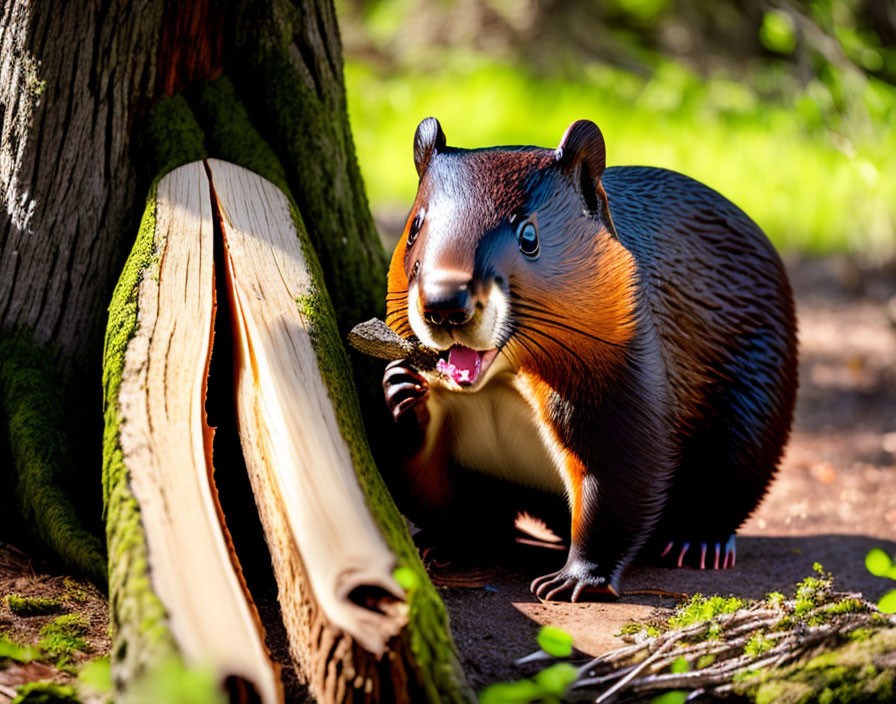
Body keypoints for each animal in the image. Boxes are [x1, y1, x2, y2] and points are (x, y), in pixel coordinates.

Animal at [384, 118, 800, 604]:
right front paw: (401, 390)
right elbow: (434, 491)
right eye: (414, 225)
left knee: (723, 491)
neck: (501, 382)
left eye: (530, 237)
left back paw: (700, 543)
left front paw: (577, 579)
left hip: (752, 416)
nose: (445, 305)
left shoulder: (620, 388)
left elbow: (618, 489)